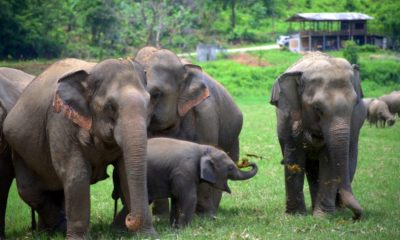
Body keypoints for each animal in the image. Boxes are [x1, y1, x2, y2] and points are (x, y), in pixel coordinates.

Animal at [2, 57, 155, 238]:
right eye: (110, 106)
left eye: (149, 103)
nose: (129, 219)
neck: (91, 72)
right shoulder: (60, 120)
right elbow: (76, 174)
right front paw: (78, 238)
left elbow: (125, 172)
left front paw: (148, 235)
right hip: (19, 148)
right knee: (29, 190)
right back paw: (58, 229)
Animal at [112, 137, 258, 229]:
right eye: (231, 167)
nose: (249, 160)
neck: (203, 149)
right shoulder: (185, 171)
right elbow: (189, 198)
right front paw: (183, 229)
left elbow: (177, 199)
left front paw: (174, 228)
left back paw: (118, 230)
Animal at [270, 52, 368, 219]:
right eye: (317, 108)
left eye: (354, 105)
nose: (356, 216)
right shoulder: (287, 116)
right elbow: (294, 157)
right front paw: (296, 216)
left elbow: (328, 160)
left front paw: (323, 217)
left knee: (348, 162)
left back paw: (337, 209)